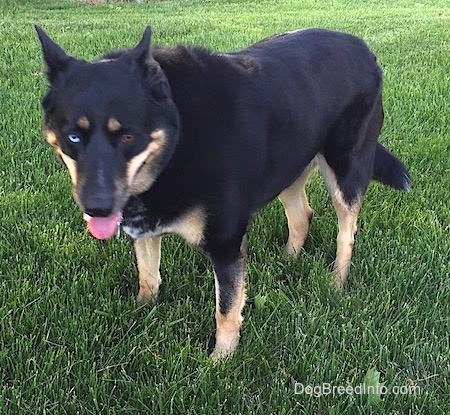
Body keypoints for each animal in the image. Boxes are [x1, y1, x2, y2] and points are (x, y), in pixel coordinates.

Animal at [36, 26, 412, 360]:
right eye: (72, 136)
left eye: (128, 136)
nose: (96, 208)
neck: (178, 135)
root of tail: (362, 46)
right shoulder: (145, 227)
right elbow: (148, 277)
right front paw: (141, 313)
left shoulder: (226, 241)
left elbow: (227, 308)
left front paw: (221, 361)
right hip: (288, 160)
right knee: (301, 215)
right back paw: (287, 259)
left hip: (346, 167)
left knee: (346, 233)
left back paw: (337, 281)